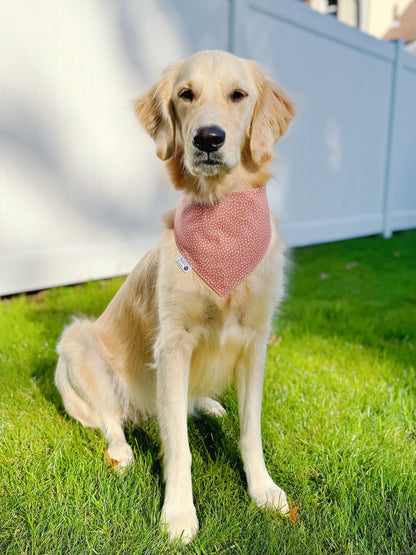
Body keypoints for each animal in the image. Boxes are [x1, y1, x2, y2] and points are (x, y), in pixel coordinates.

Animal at [55, 50, 294, 544]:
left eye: (238, 95)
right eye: (186, 94)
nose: (208, 138)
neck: (221, 218)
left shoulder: (255, 340)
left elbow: (251, 431)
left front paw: (264, 490)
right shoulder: (172, 344)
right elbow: (179, 448)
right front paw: (180, 514)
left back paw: (207, 404)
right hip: (77, 344)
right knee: (112, 420)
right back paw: (122, 453)